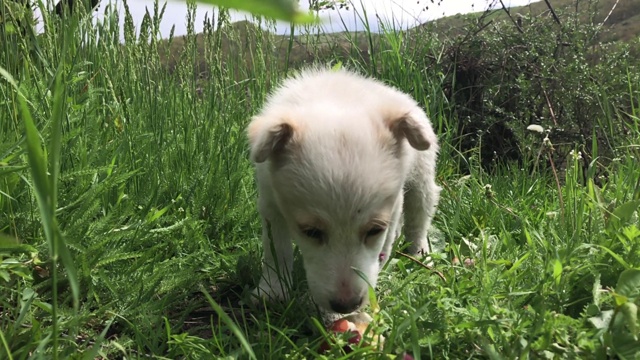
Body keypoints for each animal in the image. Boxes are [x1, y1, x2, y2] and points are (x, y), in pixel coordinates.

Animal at [249, 67, 440, 316]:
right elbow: (276, 249)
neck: (336, 101)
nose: (346, 306)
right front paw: (272, 290)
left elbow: (386, 243)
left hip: (422, 175)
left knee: (418, 218)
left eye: (374, 230)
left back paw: (420, 253)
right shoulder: (270, 202)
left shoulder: (393, 205)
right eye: (311, 232)